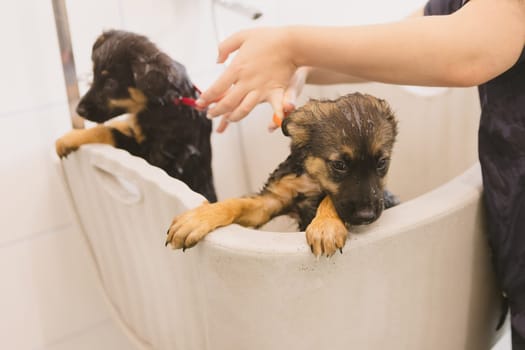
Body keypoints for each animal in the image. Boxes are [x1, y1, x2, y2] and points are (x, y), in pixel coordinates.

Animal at [54, 30, 215, 202]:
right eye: (94, 75)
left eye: (111, 84)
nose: (79, 111)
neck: (165, 103)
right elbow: (120, 125)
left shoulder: (154, 155)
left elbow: (108, 131)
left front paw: (70, 138)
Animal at [166, 93, 400, 258]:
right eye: (339, 165)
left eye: (382, 163)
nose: (366, 216)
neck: (311, 179)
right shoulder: (270, 201)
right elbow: (236, 203)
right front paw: (199, 217)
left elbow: (327, 198)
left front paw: (325, 227)